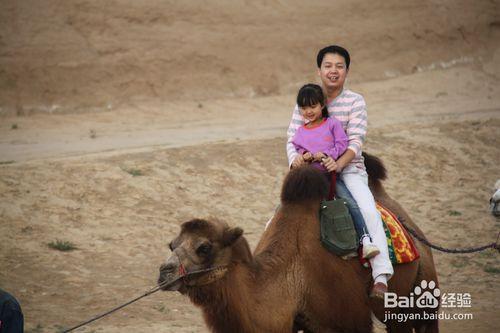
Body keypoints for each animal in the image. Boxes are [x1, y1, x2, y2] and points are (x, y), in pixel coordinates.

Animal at [157, 153, 438, 332]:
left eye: (204, 247)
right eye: (172, 244)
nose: (164, 272)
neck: (296, 278)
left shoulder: (352, 321)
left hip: (413, 297)